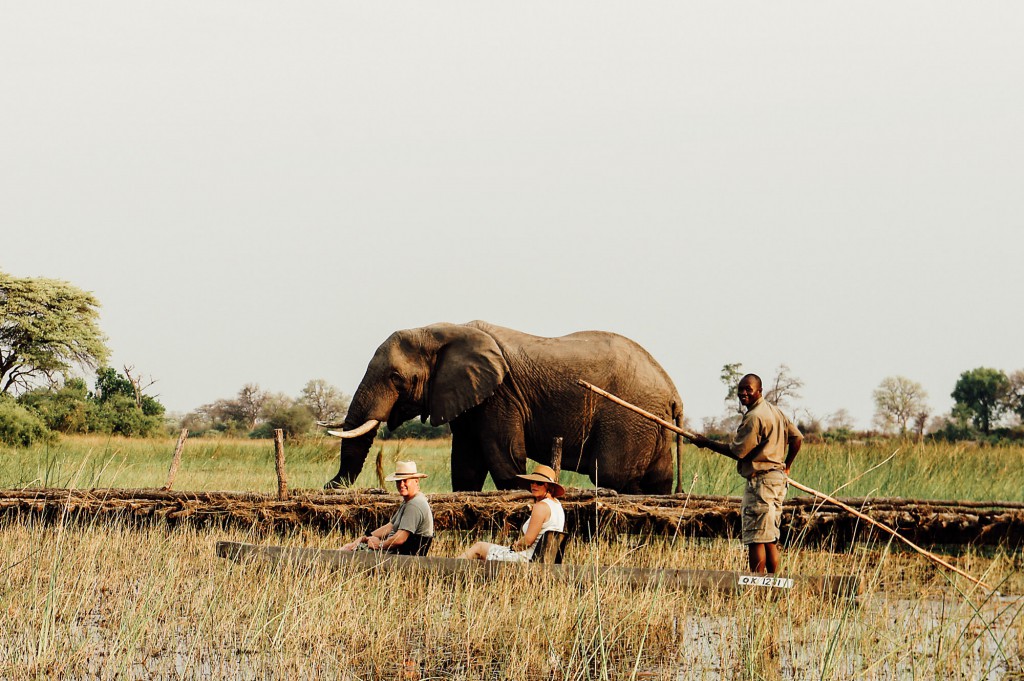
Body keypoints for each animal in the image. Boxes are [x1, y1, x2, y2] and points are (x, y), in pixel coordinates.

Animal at [324, 321, 684, 494]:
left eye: (396, 378)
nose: (329, 485)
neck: (443, 330)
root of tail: (673, 392)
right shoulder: (470, 398)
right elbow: (466, 465)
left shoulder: (501, 394)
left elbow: (505, 459)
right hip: (651, 424)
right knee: (657, 482)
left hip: (627, 419)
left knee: (613, 476)